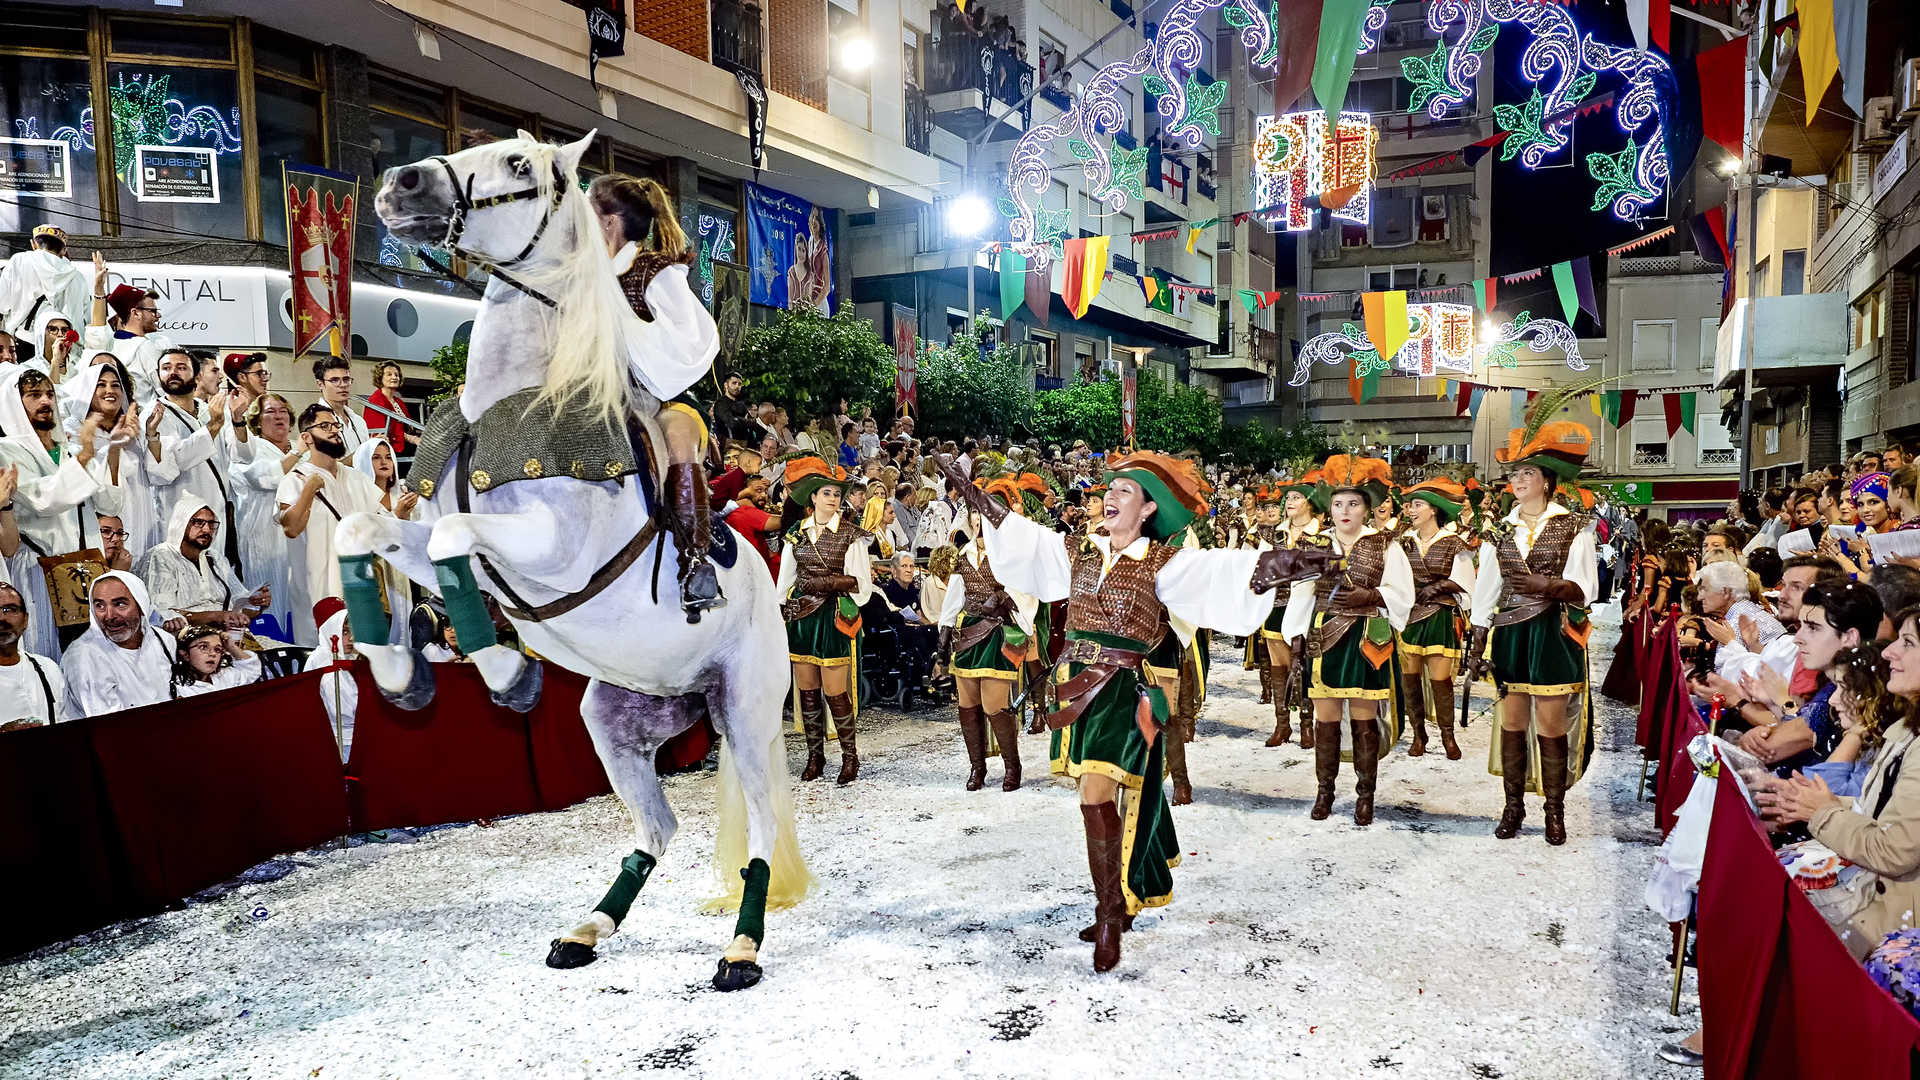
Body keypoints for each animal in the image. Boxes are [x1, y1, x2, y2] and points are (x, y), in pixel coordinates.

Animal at [345, 130, 810, 991]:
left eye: (519, 166)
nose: (401, 183)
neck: (503, 411)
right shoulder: (428, 536)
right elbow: (362, 534)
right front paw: (399, 670)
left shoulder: (552, 548)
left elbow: (458, 543)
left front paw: (504, 672)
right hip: (619, 719)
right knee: (657, 830)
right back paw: (588, 929)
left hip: (746, 712)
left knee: (761, 832)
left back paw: (741, 947)